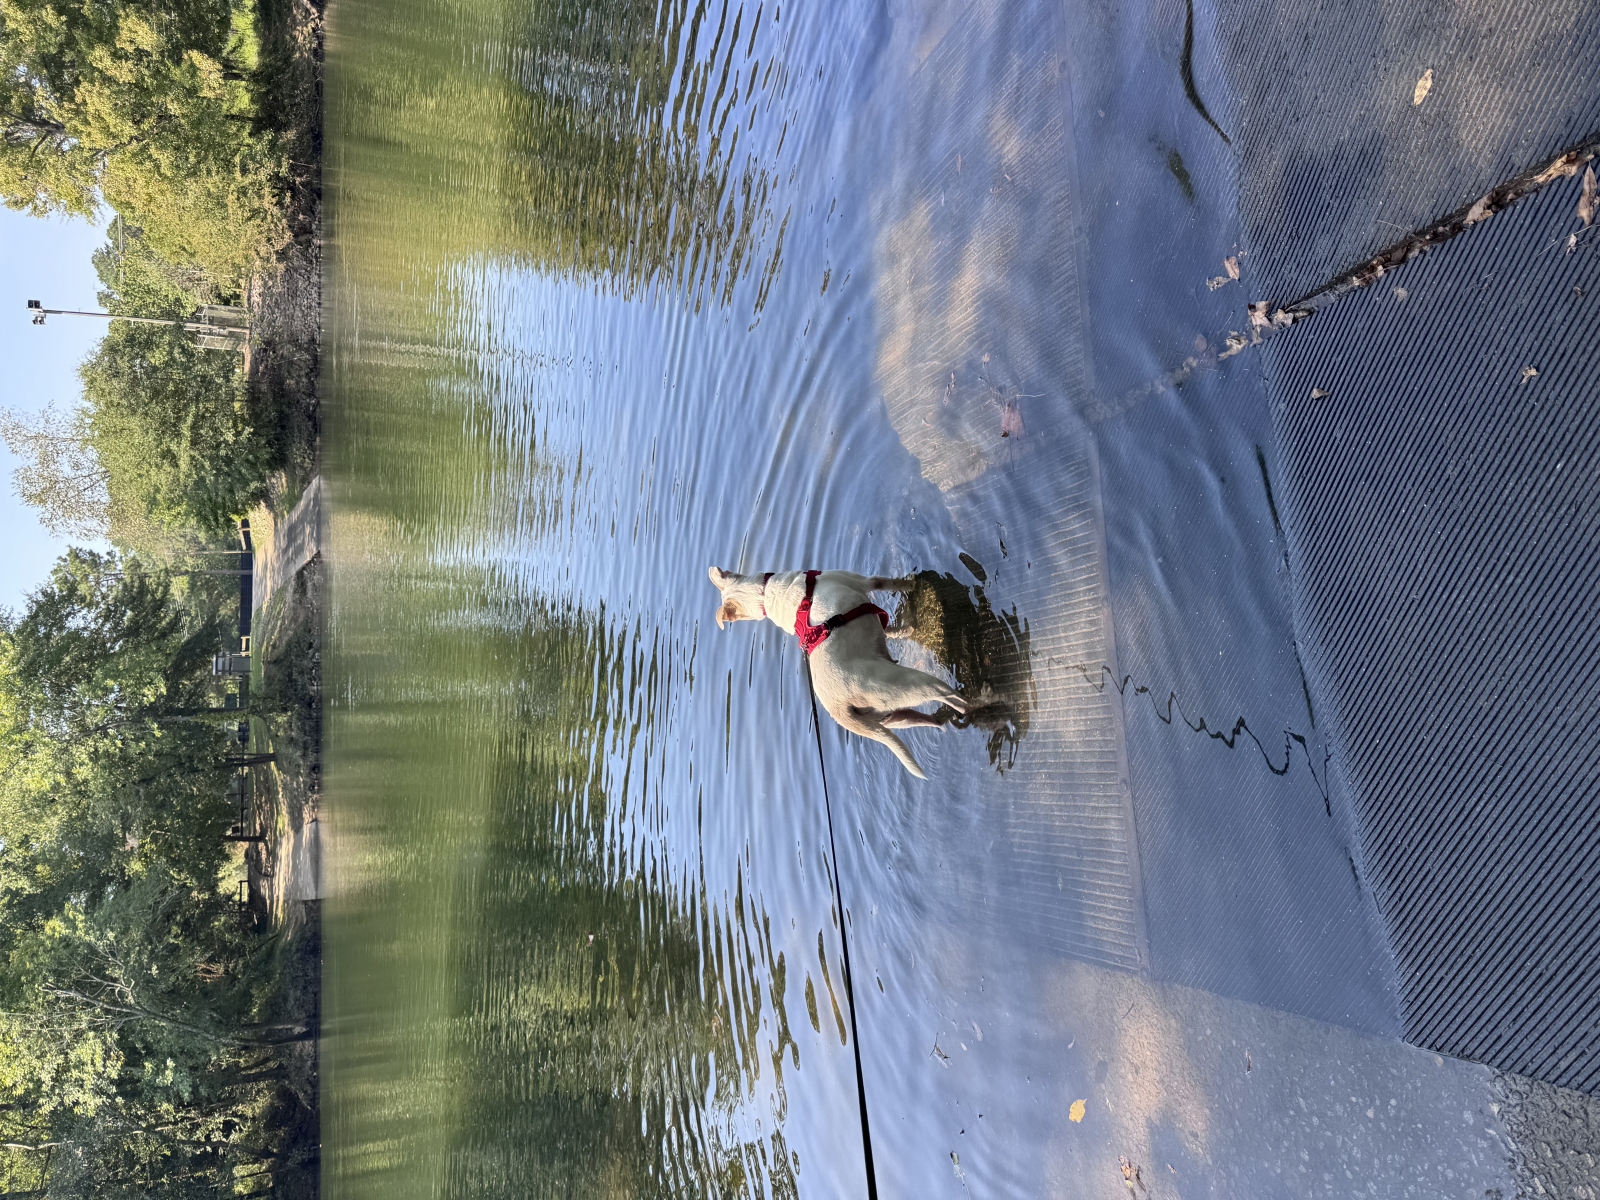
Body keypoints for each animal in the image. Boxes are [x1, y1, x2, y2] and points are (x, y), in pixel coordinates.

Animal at [708, 567, 968, 778]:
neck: (768, 594)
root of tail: (838, 708)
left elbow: (893, 631)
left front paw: (906, 629)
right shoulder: (866, 581)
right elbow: (891, 583)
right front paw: (912, 583)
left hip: (893, 717)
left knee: (930, 718)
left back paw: (944, 721)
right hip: (909, 684)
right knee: (951, 698)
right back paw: (968, 701)